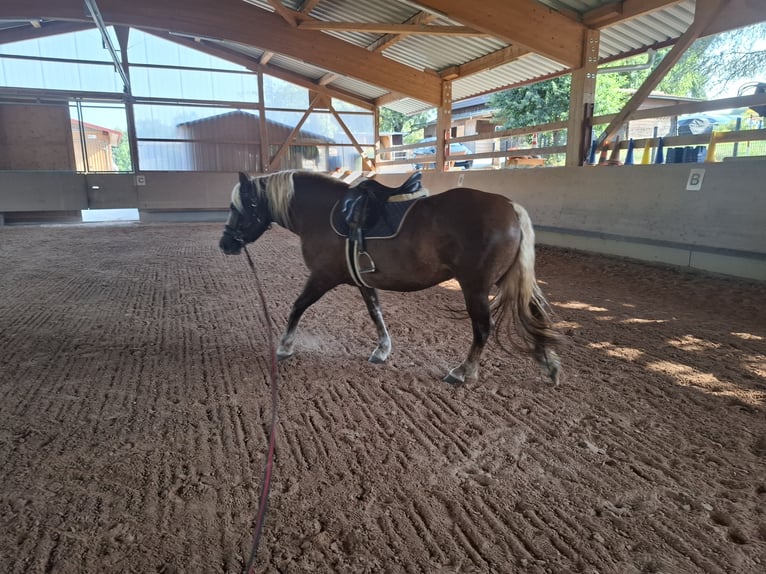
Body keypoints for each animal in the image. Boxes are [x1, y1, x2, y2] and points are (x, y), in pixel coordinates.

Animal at [219, 170, 561, 386]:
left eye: (240, 206)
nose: (225, 244)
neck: (322, 213)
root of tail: (510, 207)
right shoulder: (363, 282)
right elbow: (375, 313)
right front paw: (382, 350)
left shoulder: (322, 277)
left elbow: (297, 306)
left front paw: (285, 346)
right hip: (506, 280)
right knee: (534, 315)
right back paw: (549, 365)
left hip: (475, 286)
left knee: (483, 328)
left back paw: (462, 371)